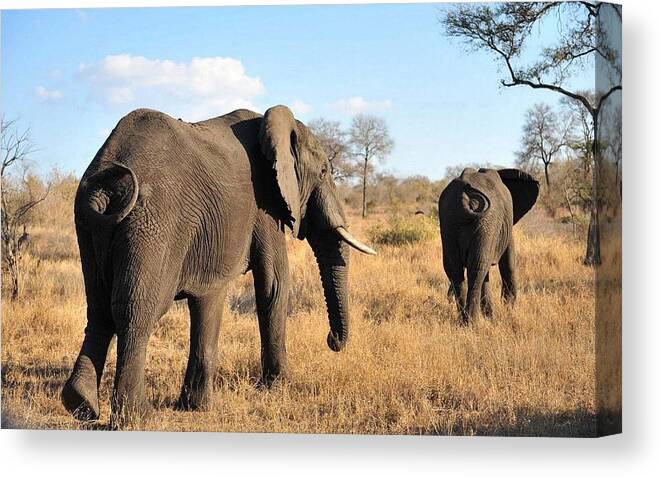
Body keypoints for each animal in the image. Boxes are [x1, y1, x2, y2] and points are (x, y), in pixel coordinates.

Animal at [62, 103, 376, 424]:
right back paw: (138, 417)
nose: (331, 340)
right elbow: (273, 284)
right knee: (137, 311)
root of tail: (105, 186)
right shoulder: (264, 203)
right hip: (152, 223)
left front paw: (195, 406)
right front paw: (276, 387)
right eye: (324, 172)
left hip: (87, 225)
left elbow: (210, 298)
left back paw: (81, 404)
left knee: (99, 309)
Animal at [436, 167, 540, 324]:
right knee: (477, 267)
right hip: (486, 222)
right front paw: (508, 310)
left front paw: (490, 315)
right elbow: (508, 264)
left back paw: (463, 321)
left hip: (449, 221)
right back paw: (472, 323)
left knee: (457, 269)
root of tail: (464, 197)